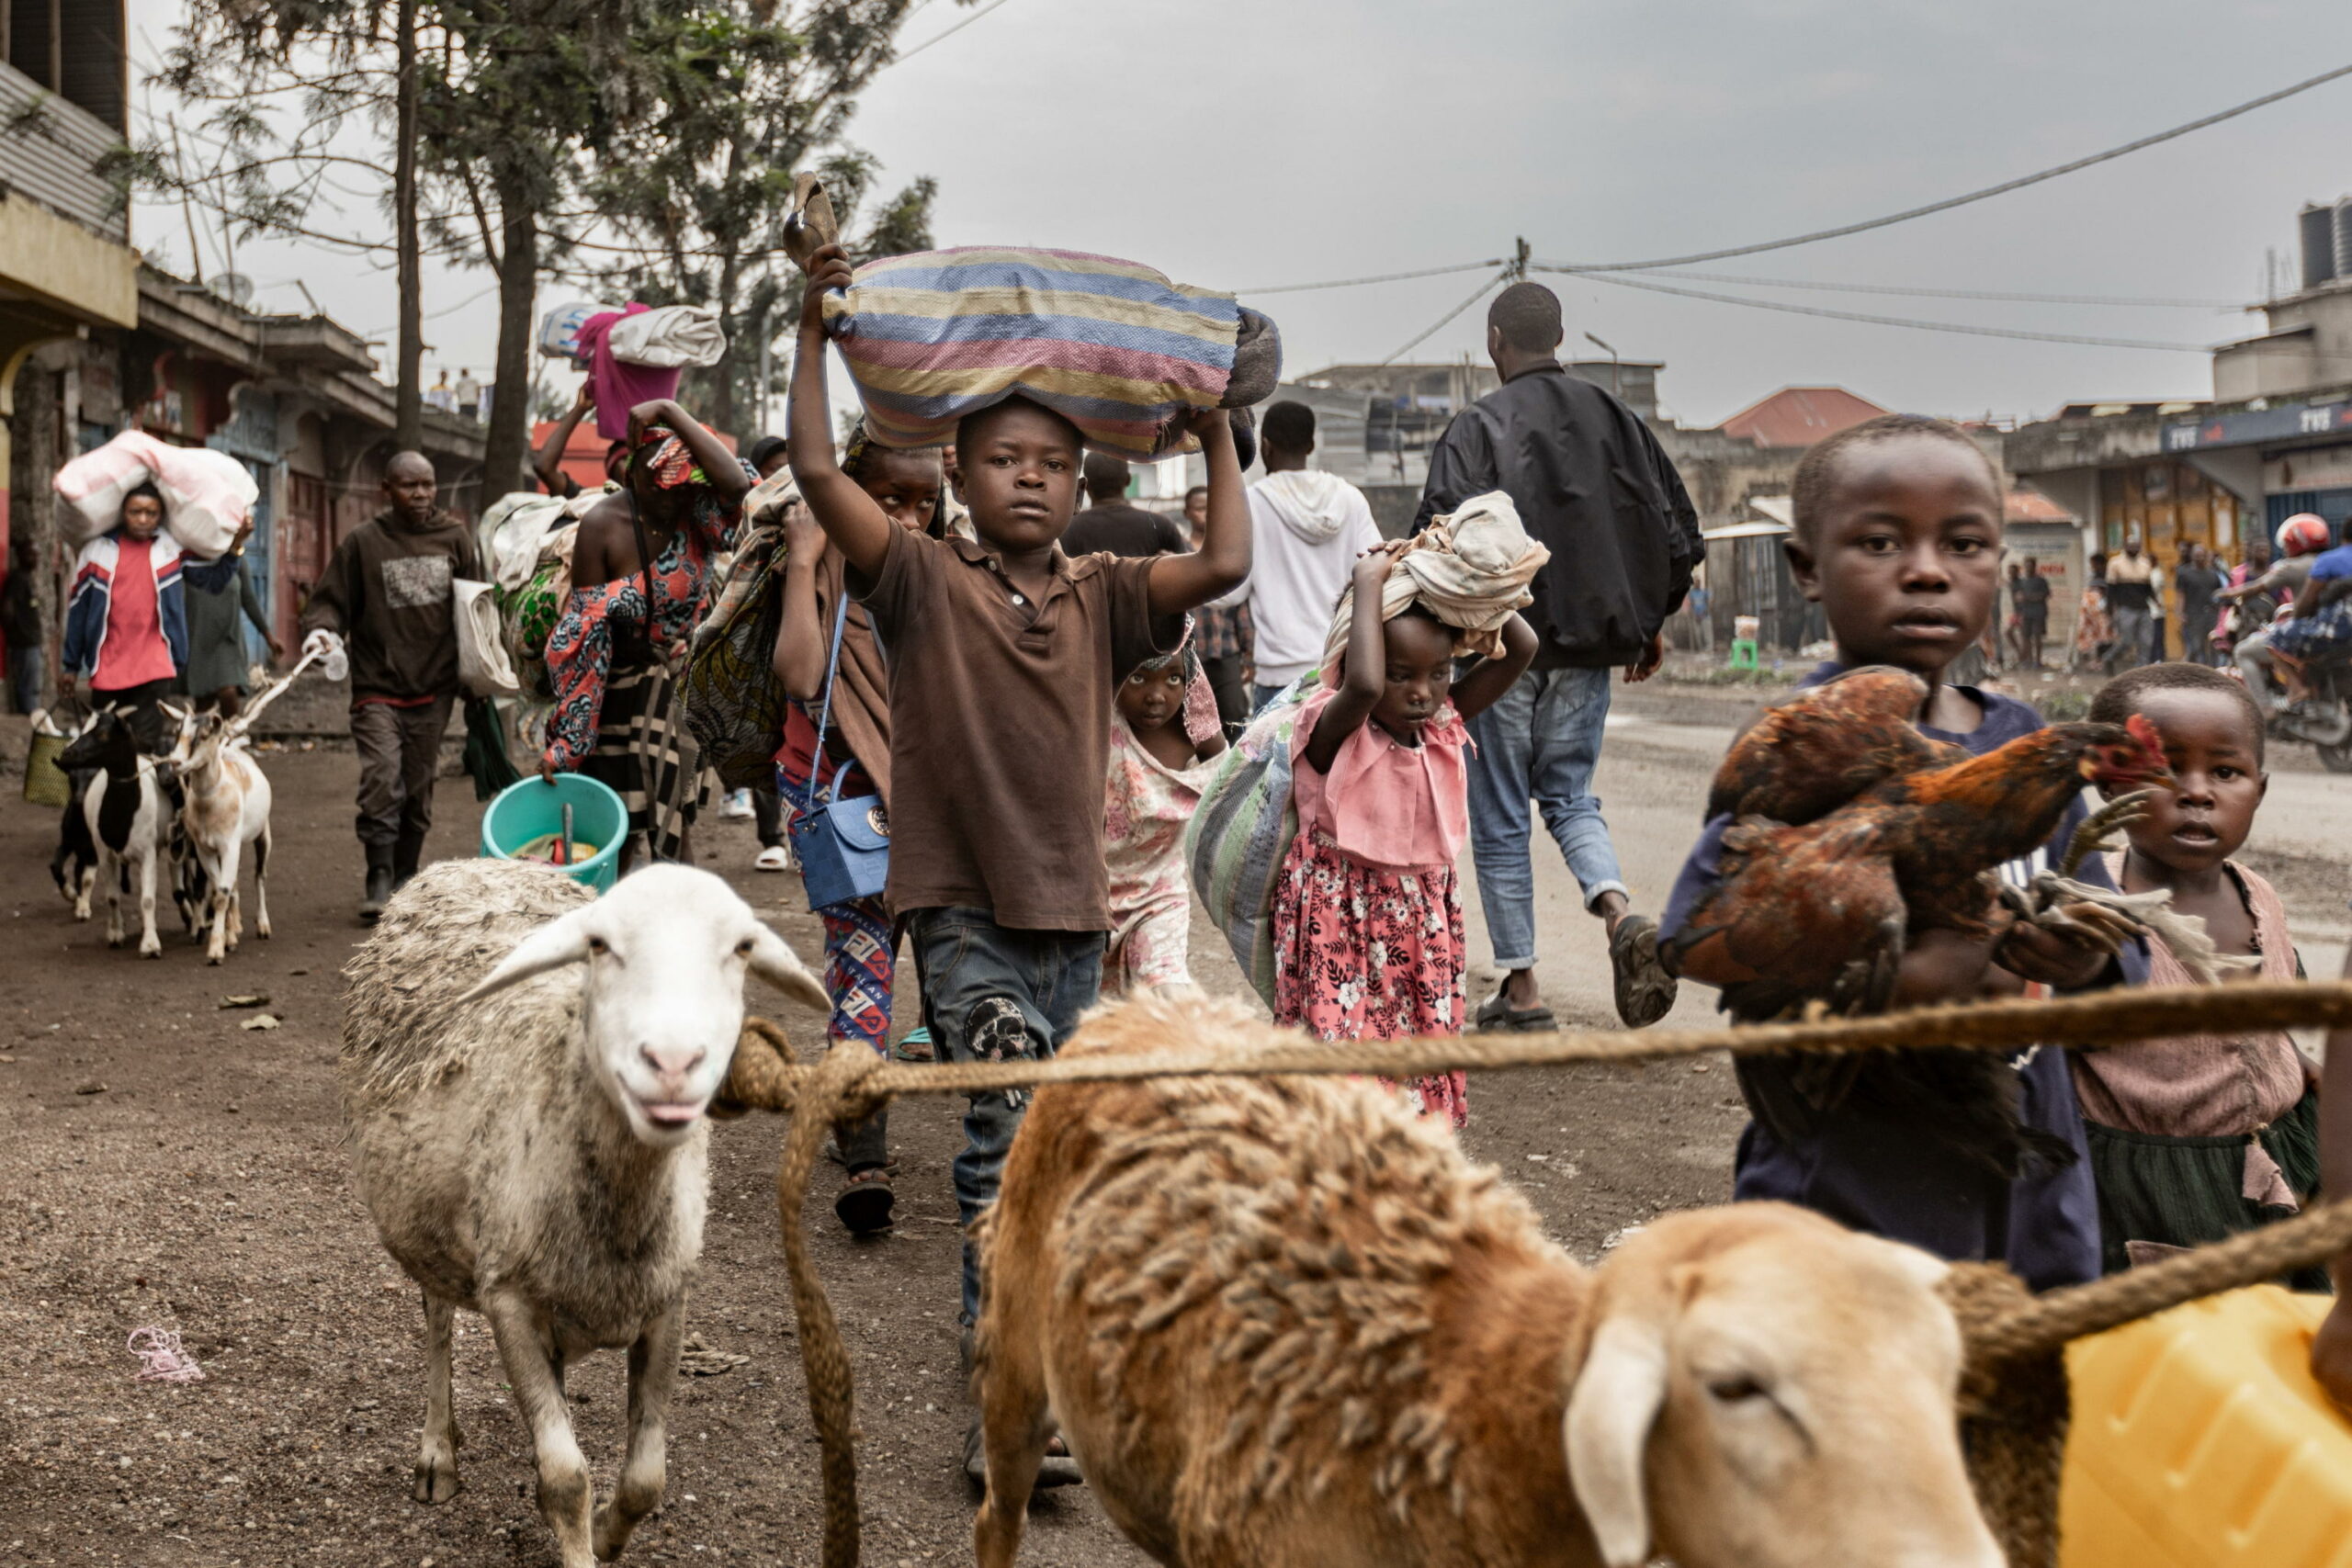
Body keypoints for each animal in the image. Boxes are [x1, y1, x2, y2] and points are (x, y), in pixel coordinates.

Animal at [57, 709, 175, 959]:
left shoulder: (148, 854)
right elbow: (112, 897)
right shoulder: (104, 855)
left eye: (103, 734)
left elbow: (147, 900)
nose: (67, 752)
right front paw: (115, 933)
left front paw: (150, 943)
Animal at [162, 700, 274, 968]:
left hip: (262, 834)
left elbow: (222, 894)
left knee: (259, 876)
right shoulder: (205, 849)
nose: (175, 763)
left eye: (203, 736)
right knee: (232, 884)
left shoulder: (229, 845)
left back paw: (263, 926)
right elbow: (218, 890)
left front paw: (215, 951)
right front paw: (226, 940)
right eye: (177, 732)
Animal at [341, 860, 828, 1568]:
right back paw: (437, 1452)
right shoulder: (508, 1299)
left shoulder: (668, 1302)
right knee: (436, 1327)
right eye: (599, 944)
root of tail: (468, 863)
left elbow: (646, 1478)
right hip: (431, 1229)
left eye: (742, 948)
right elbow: (565, 1476)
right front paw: (579, 1535)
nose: (673, 1063)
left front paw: (604, 1533)